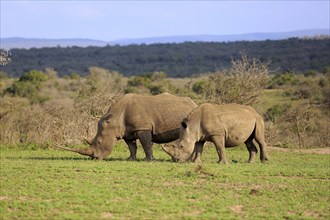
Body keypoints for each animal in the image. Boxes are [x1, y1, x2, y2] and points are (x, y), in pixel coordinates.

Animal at [55, 93, 197, 160]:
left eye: (99, 142)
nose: (94, 158)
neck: (114, 119)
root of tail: (194, 103)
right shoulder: (127, 131)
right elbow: (131, 146)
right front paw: (130, 159)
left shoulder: (142, 128)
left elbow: (146, 144)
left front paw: (148, 160)